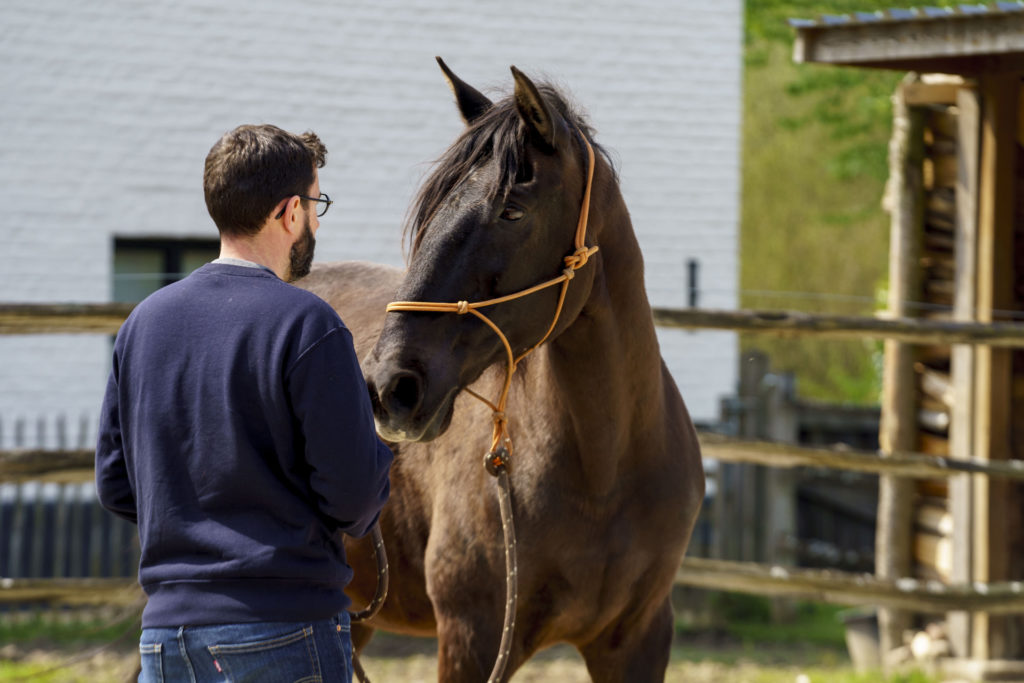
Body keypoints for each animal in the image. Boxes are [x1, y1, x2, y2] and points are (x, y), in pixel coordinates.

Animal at [299, 60, 704, 683]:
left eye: (512, 210)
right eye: (431, 213)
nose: (389, 388)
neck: (604, 473)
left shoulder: (638, 640)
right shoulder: (474, 639)